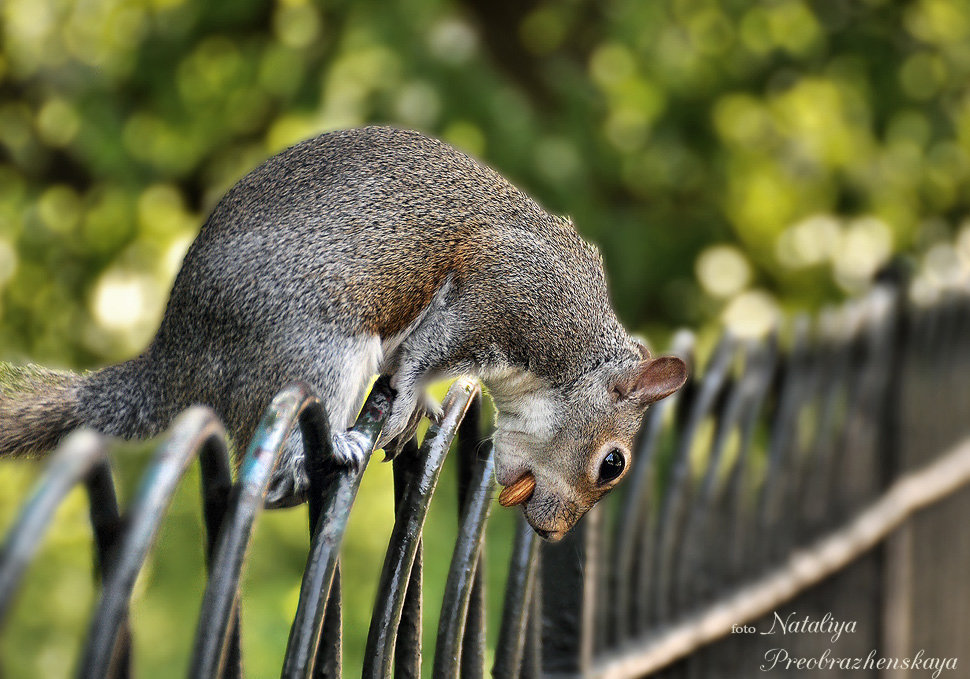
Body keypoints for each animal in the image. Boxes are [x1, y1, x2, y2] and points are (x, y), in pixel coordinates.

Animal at [0, 126, 684, 540]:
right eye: (613, 464)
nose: (552, 531)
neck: (574, 342)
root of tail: (179, 356)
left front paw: (424, 406)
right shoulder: (497, 294)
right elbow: (426, 353)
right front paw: (406, 403)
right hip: (317, 346)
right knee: (279, 474)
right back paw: (333, 446)